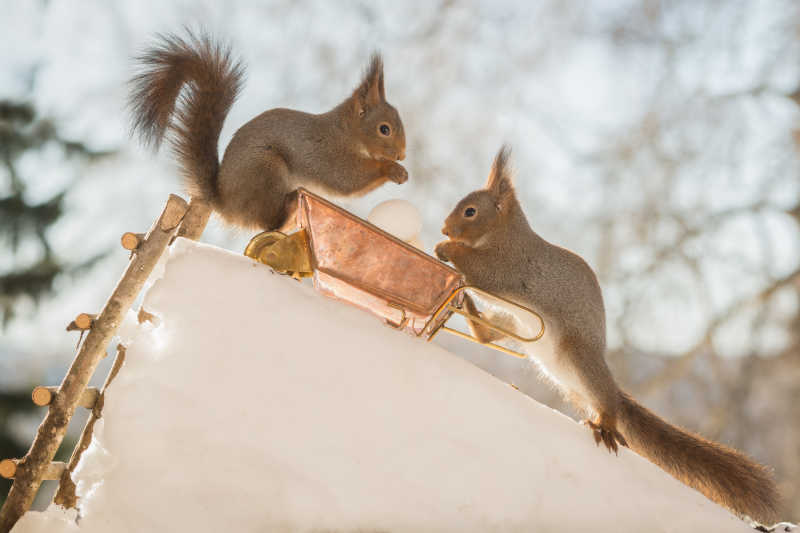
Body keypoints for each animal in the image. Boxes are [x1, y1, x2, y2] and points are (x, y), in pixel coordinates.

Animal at [130, 30, 410, 228]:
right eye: (384, 129)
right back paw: (290, 208)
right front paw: (392, 169)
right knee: (269, 224)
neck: (344, 132)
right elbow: (347, 179)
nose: (401, 155)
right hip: (266, 169)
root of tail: (227, 205)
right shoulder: (327, 154)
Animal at [434, 145, 780, 524]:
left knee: (607, 402)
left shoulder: (509, 265)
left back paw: (607, 424)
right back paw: (471, 314)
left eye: (470, 211)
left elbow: (481, 270)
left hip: (580, 356)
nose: (445, 229)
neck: (505, 234)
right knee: (487, 336)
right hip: (512, 323)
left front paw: (446, 250)